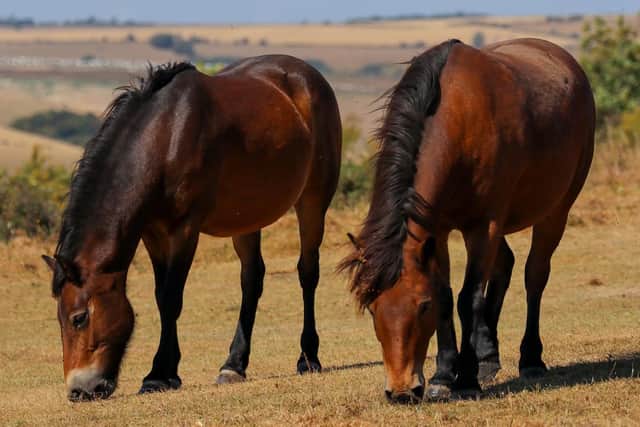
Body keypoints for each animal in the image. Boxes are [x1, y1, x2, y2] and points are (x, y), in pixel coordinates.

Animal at [42, 55, 342, 401]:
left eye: (79, 318)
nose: (78, 389)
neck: (165, 136)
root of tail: (307, 74)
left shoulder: (184, 230)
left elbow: (171, 297)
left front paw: (160, 374)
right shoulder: (153, 233)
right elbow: (161, 297)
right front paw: (167, 371)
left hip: (313, 201)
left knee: (308, 272)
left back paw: (308, 357)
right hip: (246, 218)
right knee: (252, 280)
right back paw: (233, 365)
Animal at [340, 38, 595, 404]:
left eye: (422, 307)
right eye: (374, 309)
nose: (401, 391)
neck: (457, 116)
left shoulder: (483, 226)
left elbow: (467, 298)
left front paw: (466, 379)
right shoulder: (438, 228)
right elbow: (449, 297)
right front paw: (445, 374)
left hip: (554, 211)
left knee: (534, 275)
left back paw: (530, 359)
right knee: (505, 265)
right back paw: (487, 355)